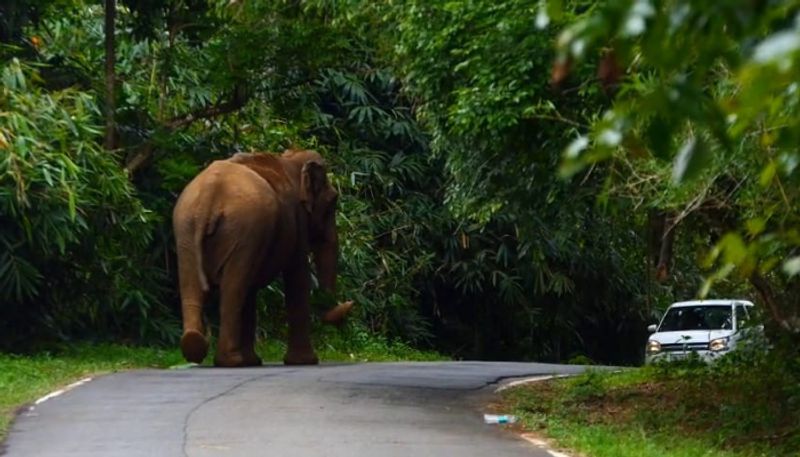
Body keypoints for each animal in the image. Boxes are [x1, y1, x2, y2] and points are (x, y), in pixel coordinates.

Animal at [173, 150, 352, 366]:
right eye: (333, 201)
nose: (350, 303)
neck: (292, 159)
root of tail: (210, 193)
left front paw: (254, 360)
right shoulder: (297, 220)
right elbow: (297, 278)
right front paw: (305, 361)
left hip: (187, 229)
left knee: (194, 287)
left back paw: (196, 347)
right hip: (242, 228)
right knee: (233, 289)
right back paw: (232, 361)